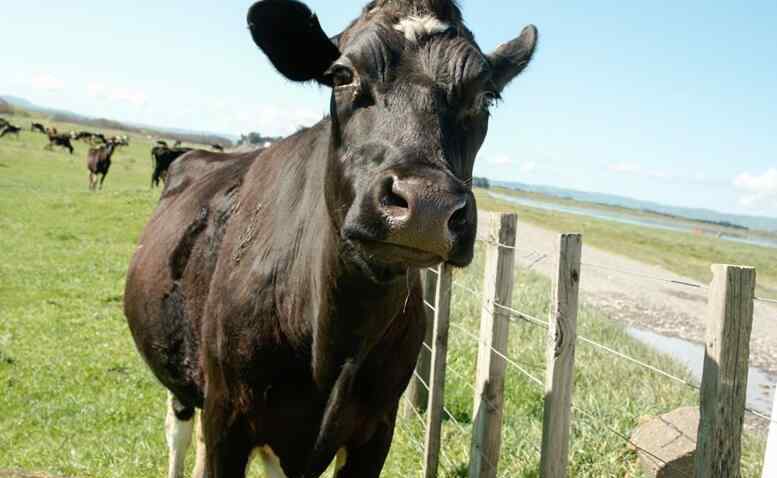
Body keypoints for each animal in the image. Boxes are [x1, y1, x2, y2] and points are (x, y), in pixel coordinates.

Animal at [124, 0, 536, 478]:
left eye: (485, 95)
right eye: (342, 75)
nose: (428, 206)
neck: (333, 340)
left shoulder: (376, 428)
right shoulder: (228, 414)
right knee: (180, 430)